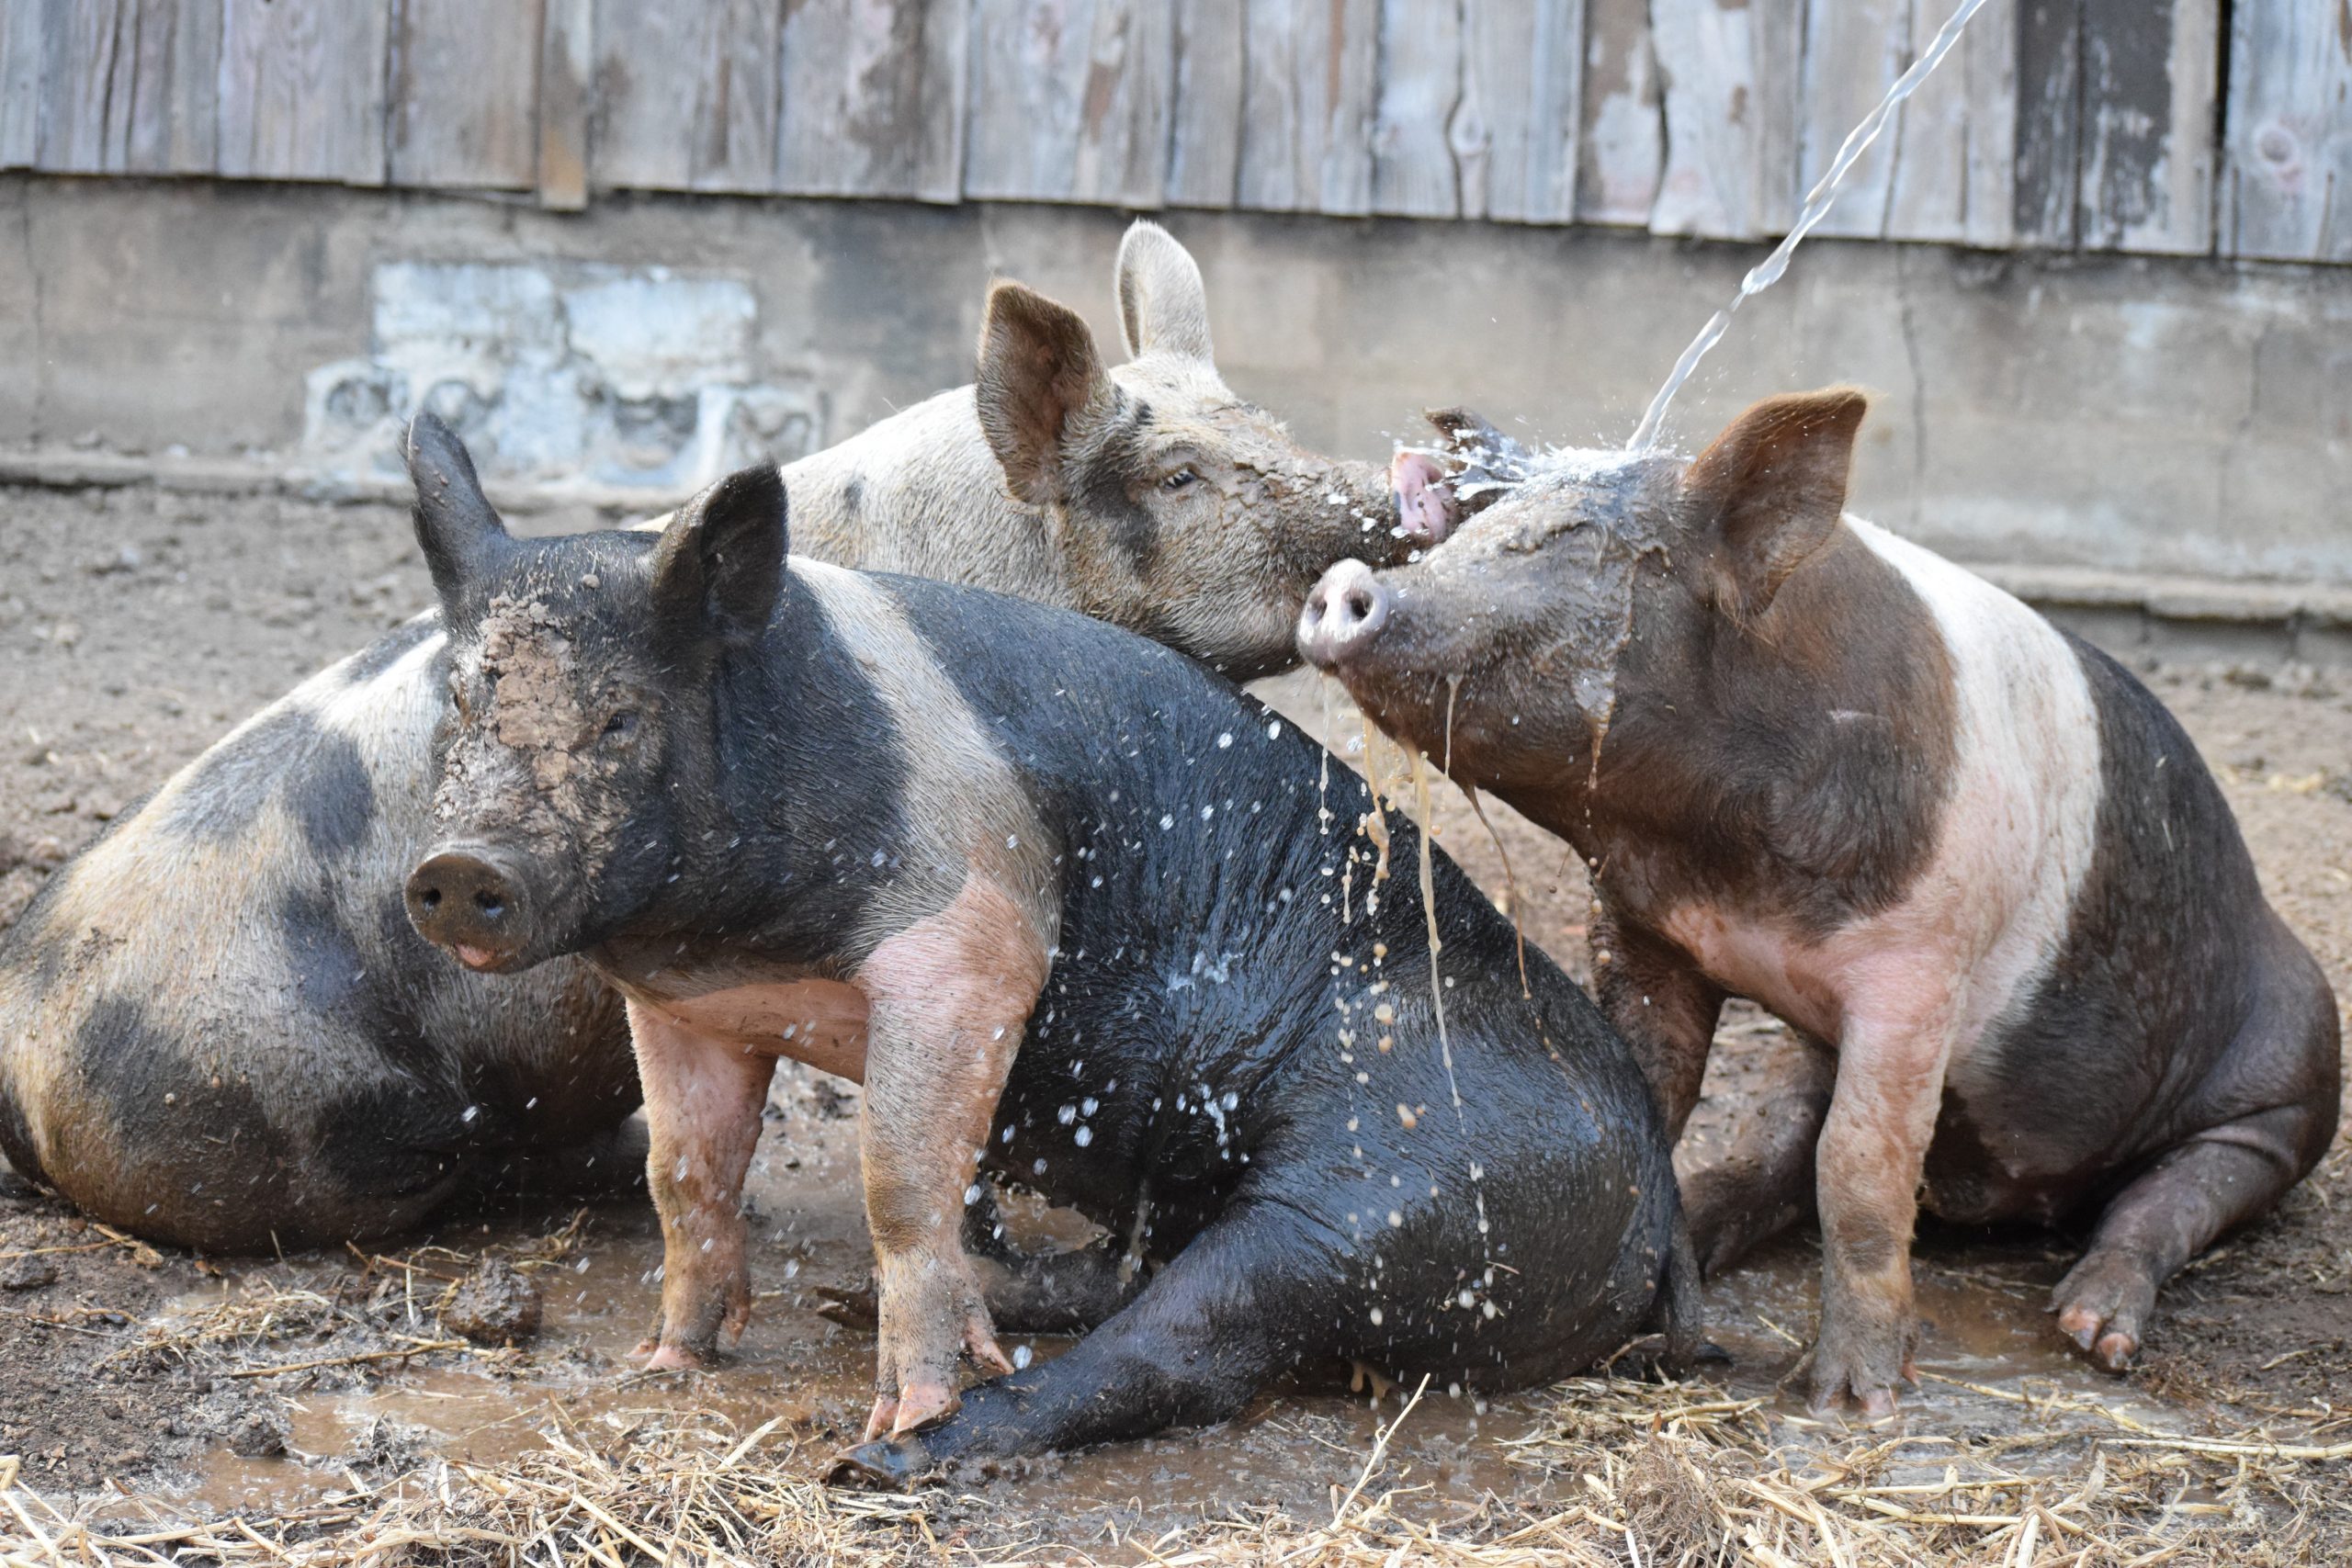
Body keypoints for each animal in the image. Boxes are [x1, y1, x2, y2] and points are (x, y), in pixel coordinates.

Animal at [395, 412, 1689, 1479]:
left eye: (620, 716)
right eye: (462, 702)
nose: (459, 867)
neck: (725, 940)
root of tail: (1659, 1206)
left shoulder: (973, 937)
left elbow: (901, 1180)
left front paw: (906, 1404)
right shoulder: (685, 1006)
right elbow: (685, 1177)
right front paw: (666, 1365)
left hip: (1388, 1190)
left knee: (1191, 1344)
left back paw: (896, 1456)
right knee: (1127, 1276)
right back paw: (849, 1312)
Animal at [1298, 389, 2342, 1414]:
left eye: (1573, 540)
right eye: (1477, 523)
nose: (1345, 584)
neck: (1718, 863)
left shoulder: (1919, 963)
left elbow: (1860, 1163)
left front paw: (1852, 1402)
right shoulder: (1642, 930)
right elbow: (1655, 1100)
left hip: (2292, 1074)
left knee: (2178, 1193)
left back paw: (2092, 1333)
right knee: (1770, 1151)